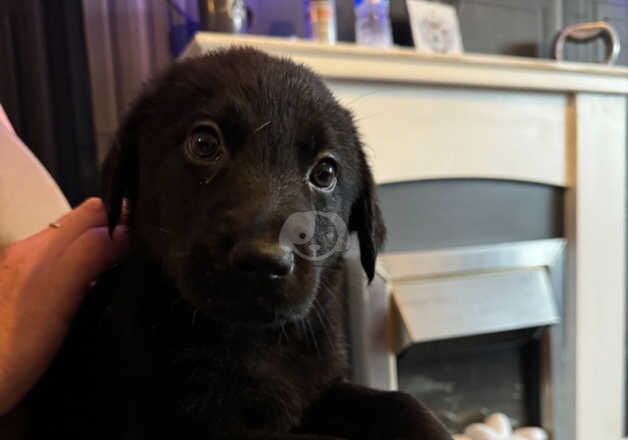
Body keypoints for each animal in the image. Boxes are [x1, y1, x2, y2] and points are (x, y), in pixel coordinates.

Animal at [27, 49, 452, 440]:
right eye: (203, 142)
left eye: (325, 173)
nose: (265, 262)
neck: (254, 342)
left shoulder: (318, 389)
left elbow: (400, 403)